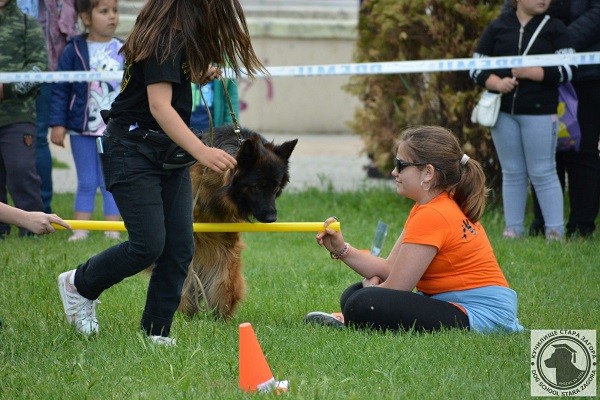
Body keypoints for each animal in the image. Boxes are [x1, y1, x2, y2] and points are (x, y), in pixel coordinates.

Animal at [179, 125, 298, 318]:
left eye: (276, 188)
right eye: (256, 187)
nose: (272, 218)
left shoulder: (227, 240)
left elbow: (224, 277)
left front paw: (221, 312)